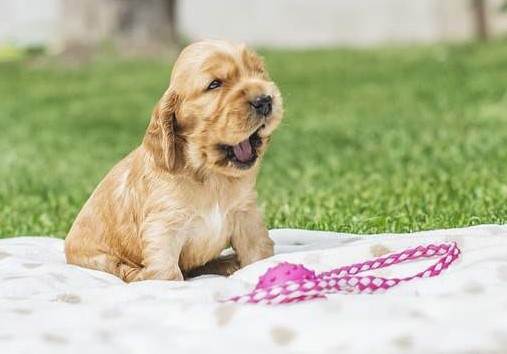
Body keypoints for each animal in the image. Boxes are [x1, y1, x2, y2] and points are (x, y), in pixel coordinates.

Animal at [64, 39, 284, 282]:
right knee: (122, 269)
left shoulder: (246, 214)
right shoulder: (163, 227)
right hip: (99, 259)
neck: (209, 175)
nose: (265, 100)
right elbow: (167, 273)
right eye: (215, 84)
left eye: (258, 72)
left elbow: (258, 253)